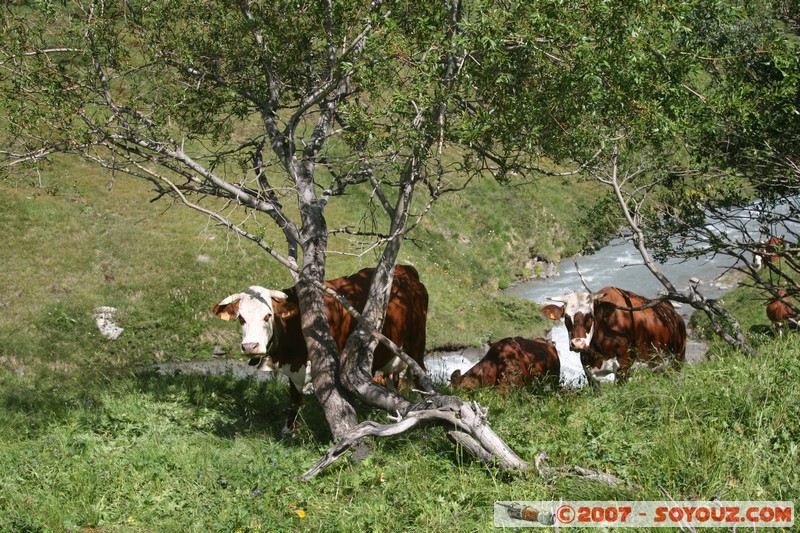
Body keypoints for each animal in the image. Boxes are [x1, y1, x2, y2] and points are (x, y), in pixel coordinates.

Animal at [212, 265, 428, 434]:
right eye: (241, 318)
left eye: (268, 315)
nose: (250, 346)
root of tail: (405, 270)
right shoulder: (294, 370)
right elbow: (294, 399)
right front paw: (288, 430)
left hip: (416, 346)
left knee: (421, 376)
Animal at [541, 287, 686, 387]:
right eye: (566, 317)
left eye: (590, 316)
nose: (577, 344)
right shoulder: (589, 372)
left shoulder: (624, 368)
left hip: (678, 357)